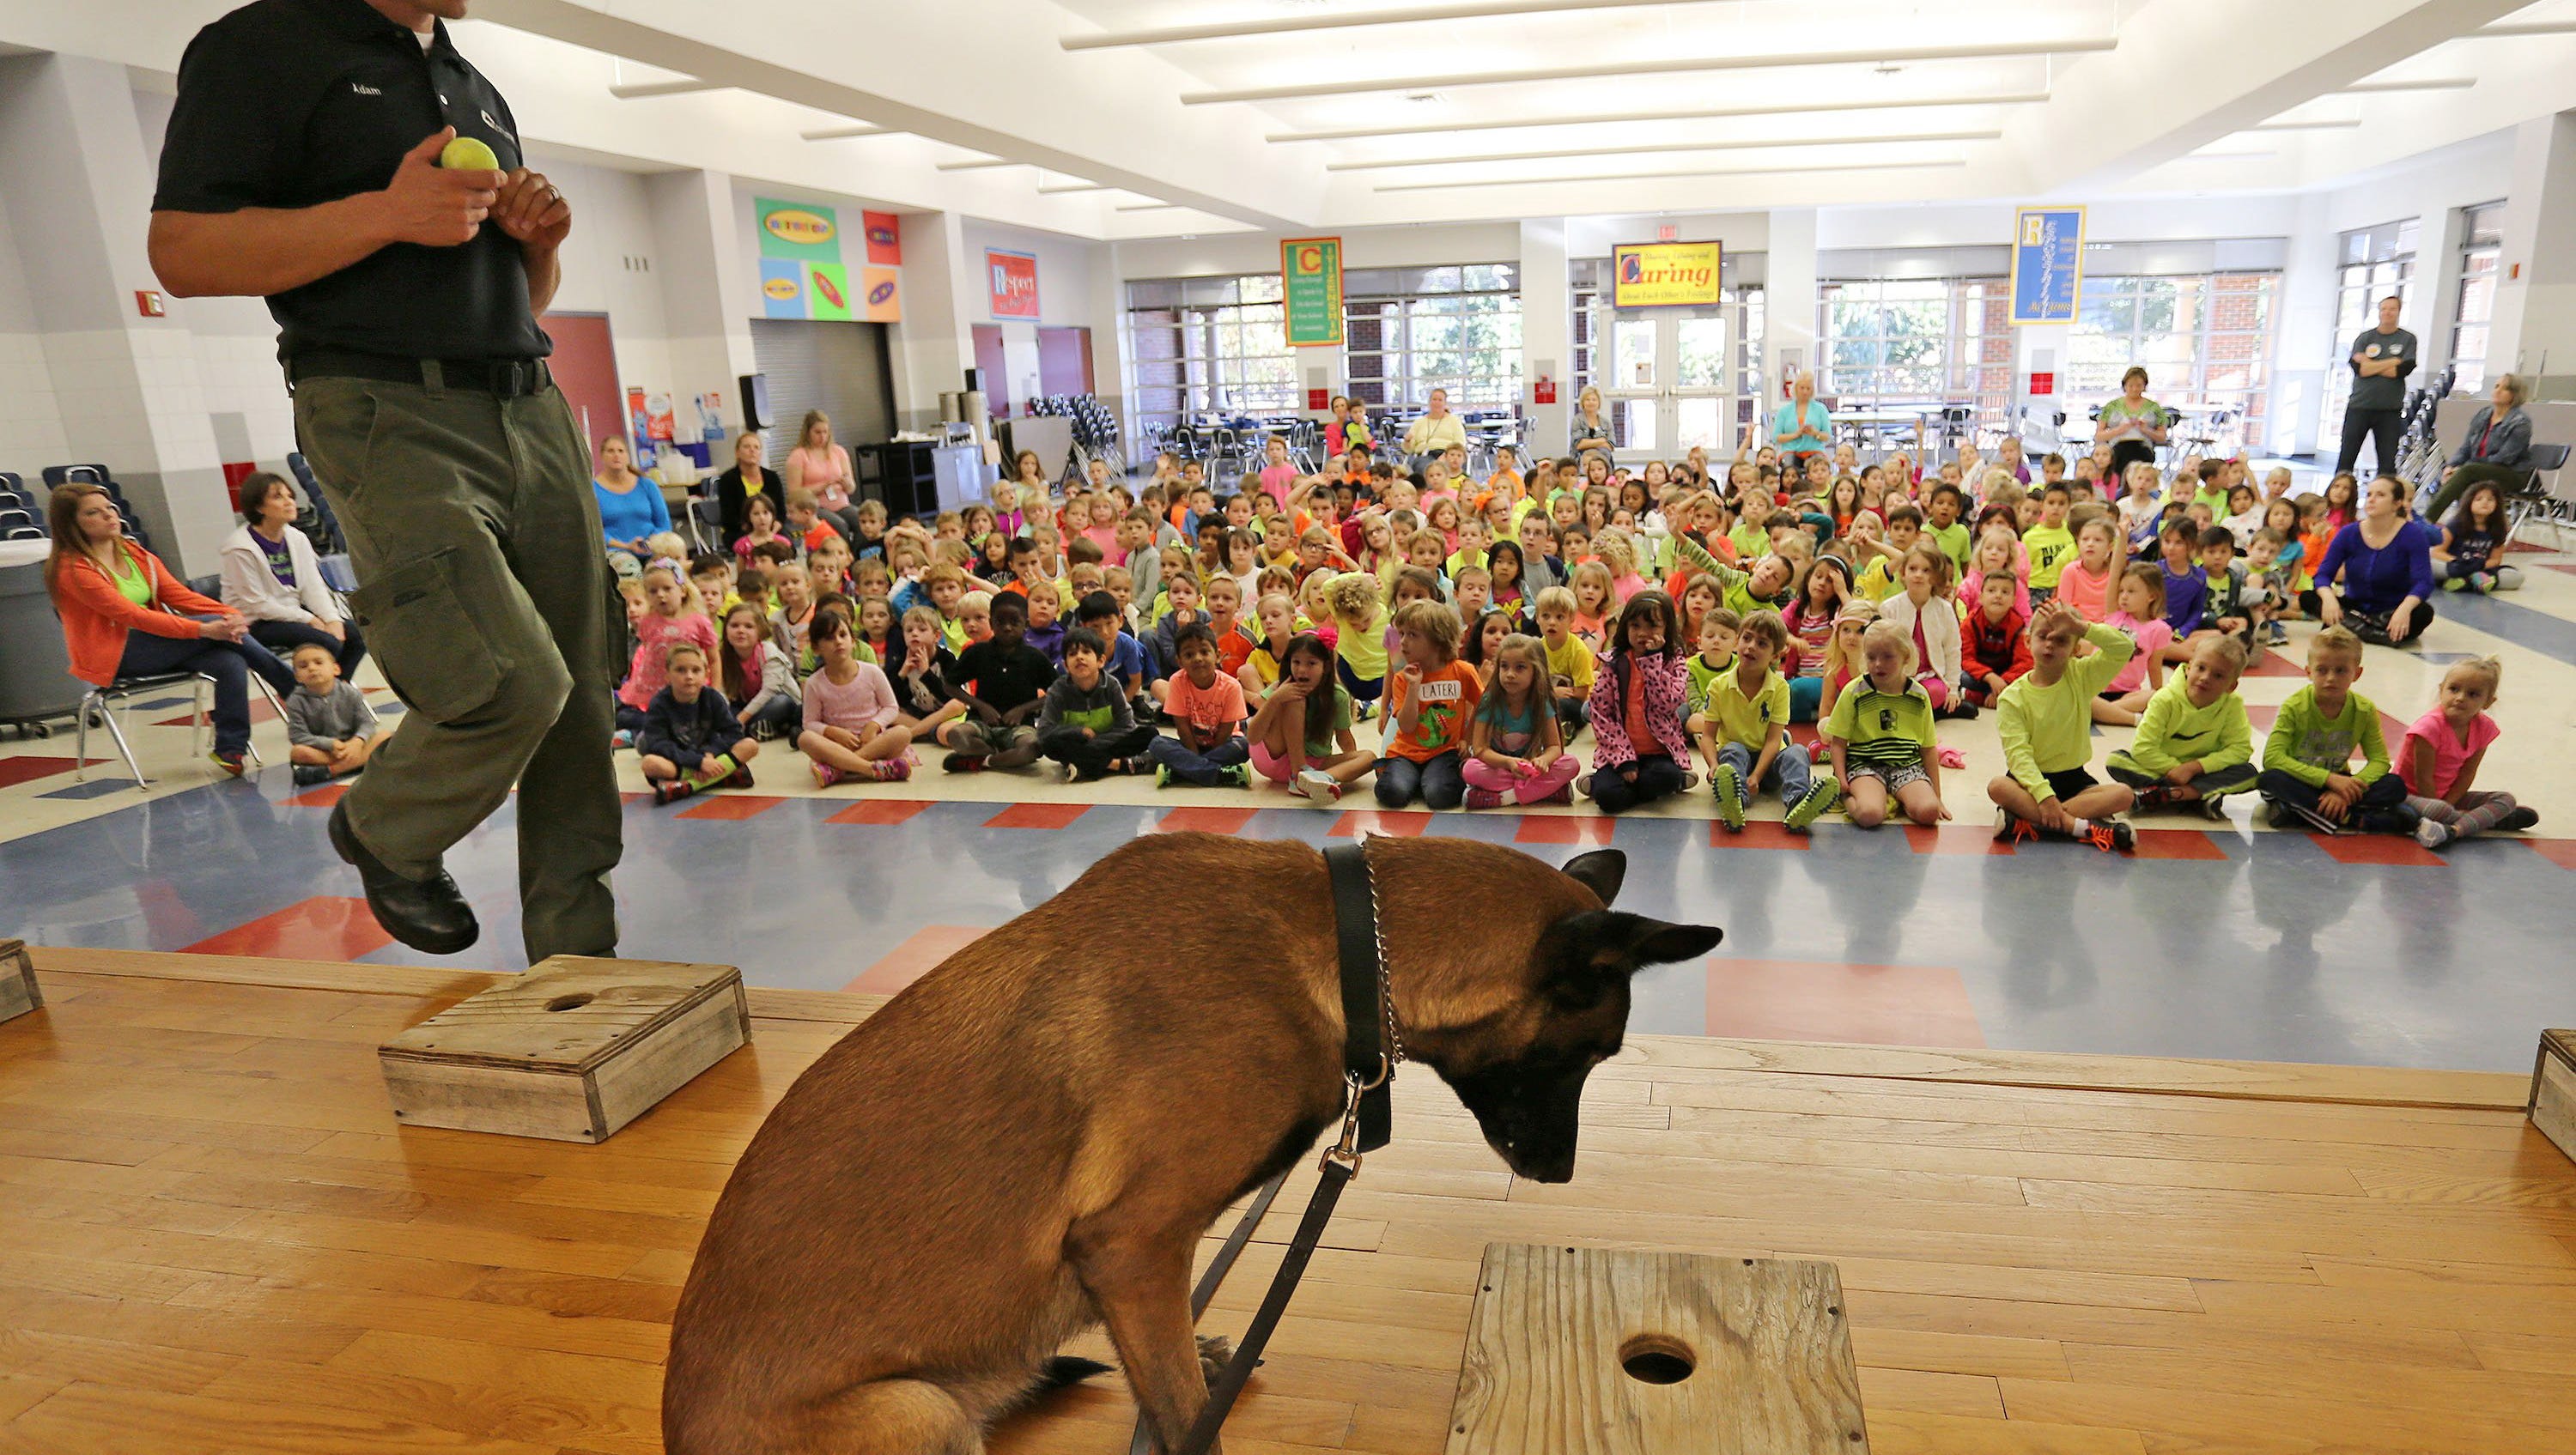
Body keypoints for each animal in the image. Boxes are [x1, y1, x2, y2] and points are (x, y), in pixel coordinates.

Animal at [654, 834, 1721, 1442]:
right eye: (1592, 1052)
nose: (1558, 1173)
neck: (1335, 938)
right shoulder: (1131, 1247)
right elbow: (1176, 1417)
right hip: (910, 1407)